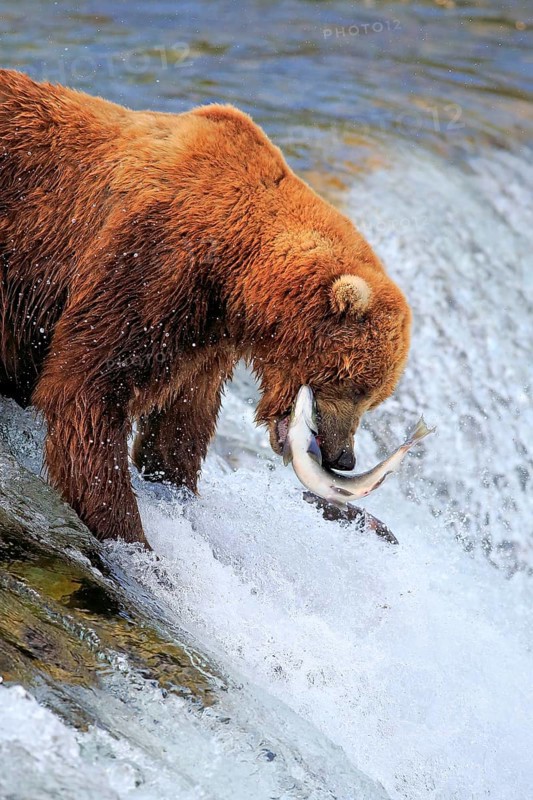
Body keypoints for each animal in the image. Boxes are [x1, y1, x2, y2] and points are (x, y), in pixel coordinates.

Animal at [0, 70, 411, 547]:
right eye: (356, 385)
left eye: (374, 396)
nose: (343, 457)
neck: (235, 267)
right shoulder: (150, 263)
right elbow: (88, 390)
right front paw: (131, 538)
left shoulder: (205, 333)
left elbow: (181, 422)